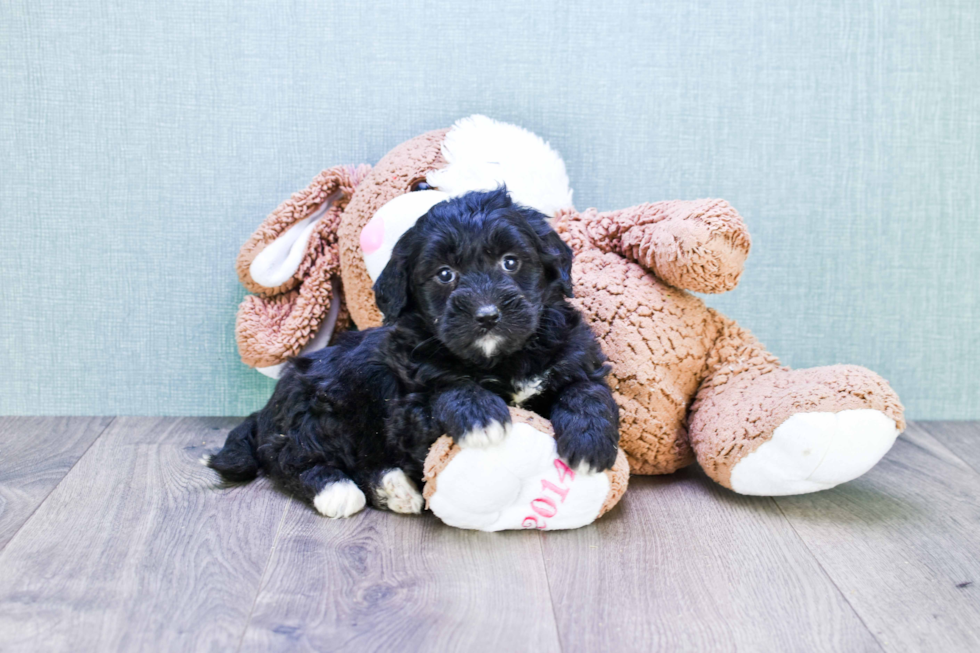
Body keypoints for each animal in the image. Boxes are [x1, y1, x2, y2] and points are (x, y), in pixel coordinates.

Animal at [208, 187, 620, 516]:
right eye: (444, 274)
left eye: (511, 262)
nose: (487, 315)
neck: (501, 359)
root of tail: (266, 411)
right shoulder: (407, 407)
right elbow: (444, 387)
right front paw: (480, 414)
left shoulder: (575, 354)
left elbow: (586, 389)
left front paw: (590, 441)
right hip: (319, 405)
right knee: (290, 458)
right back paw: (337, 490)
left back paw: (396, 489)